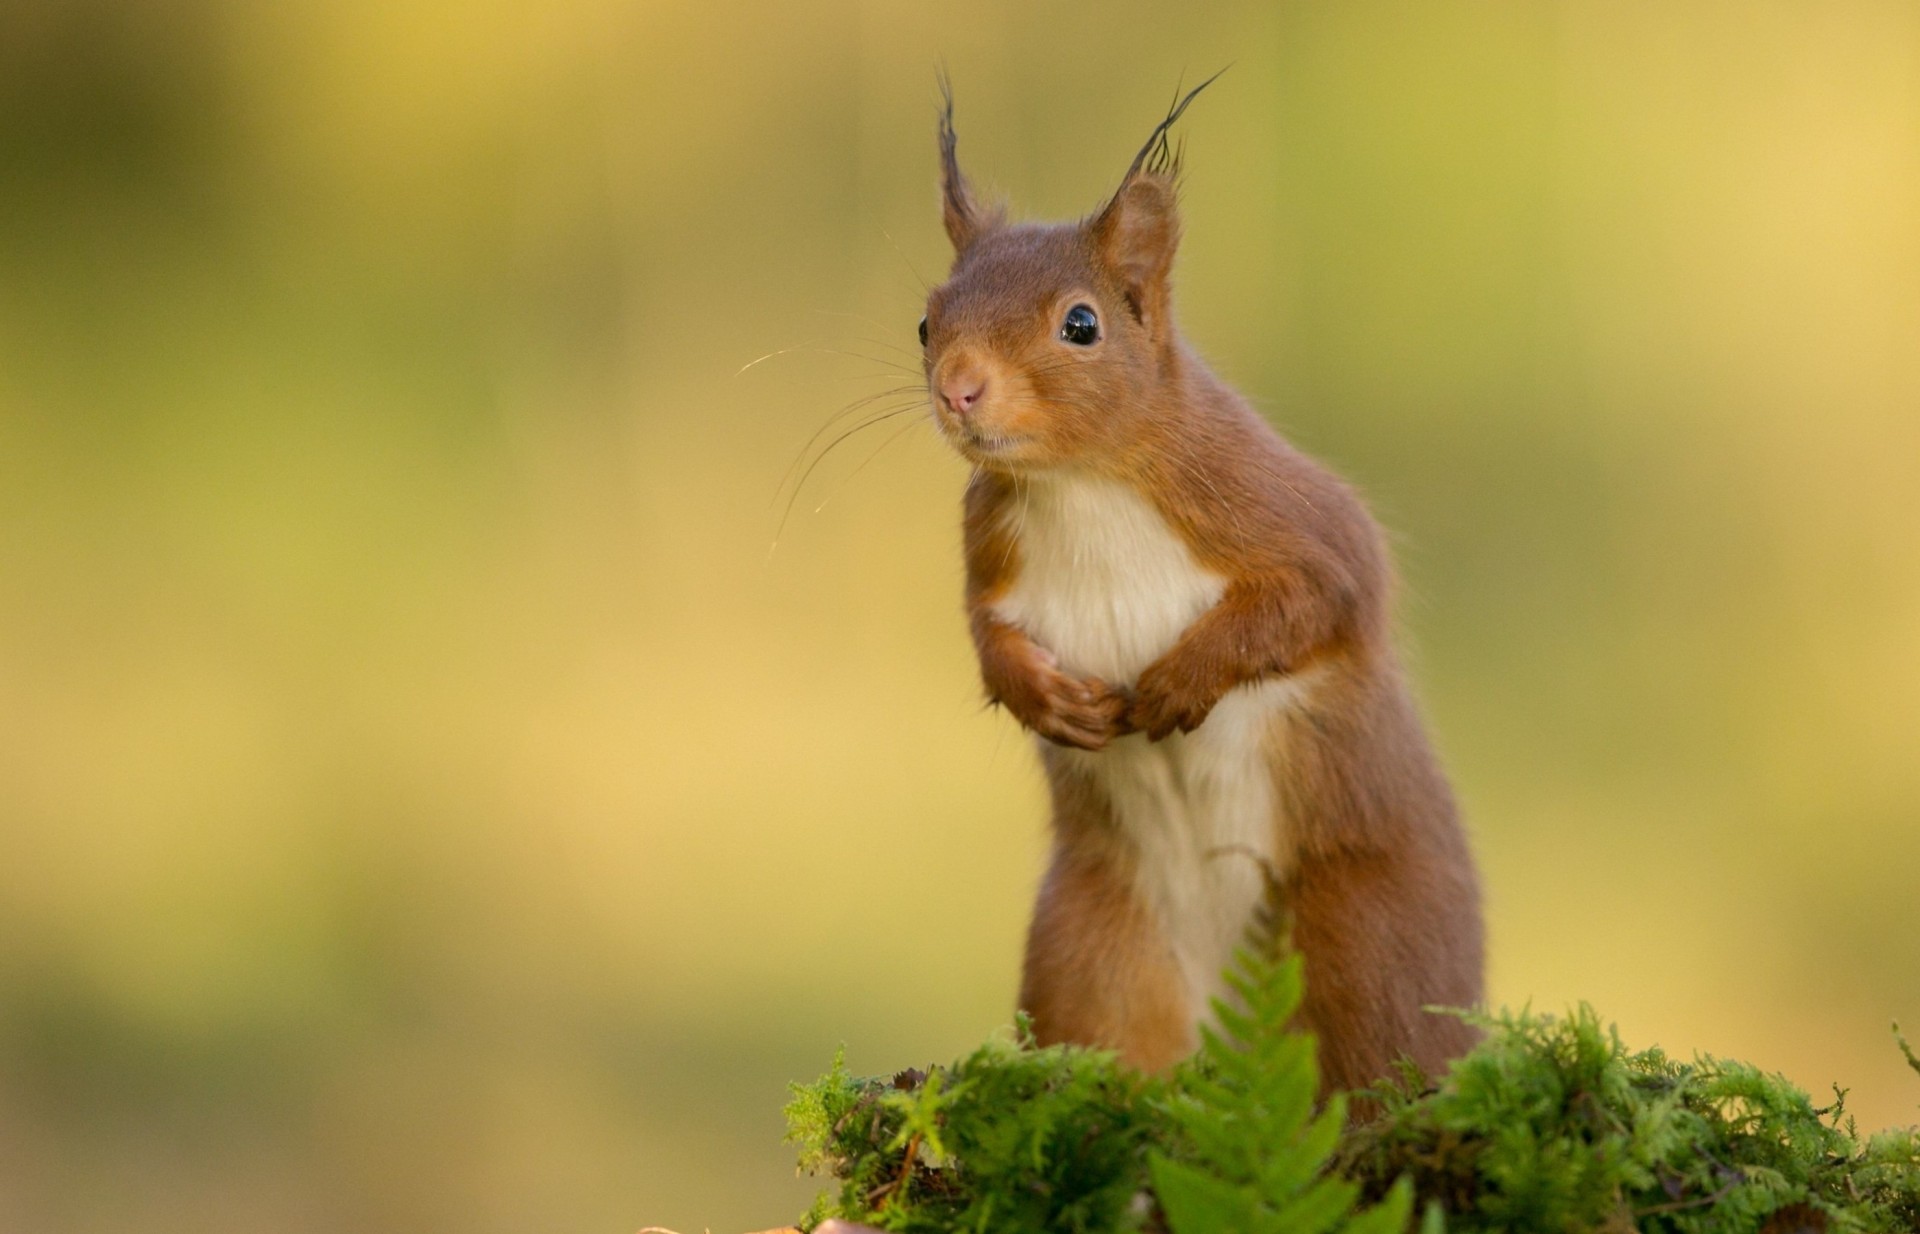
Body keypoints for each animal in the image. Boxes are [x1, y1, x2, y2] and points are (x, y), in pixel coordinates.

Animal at [917, 82, 1482, 1097]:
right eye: (925, 321)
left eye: (1082, 324)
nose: (958, 389)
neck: (1082, 485)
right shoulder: (990, 552)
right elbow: (985, 636)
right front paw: (1047, 699)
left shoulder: (1274, 507)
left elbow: (1324, 596)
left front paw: (1184, 681)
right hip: (1089, 950)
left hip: (1368, 937)